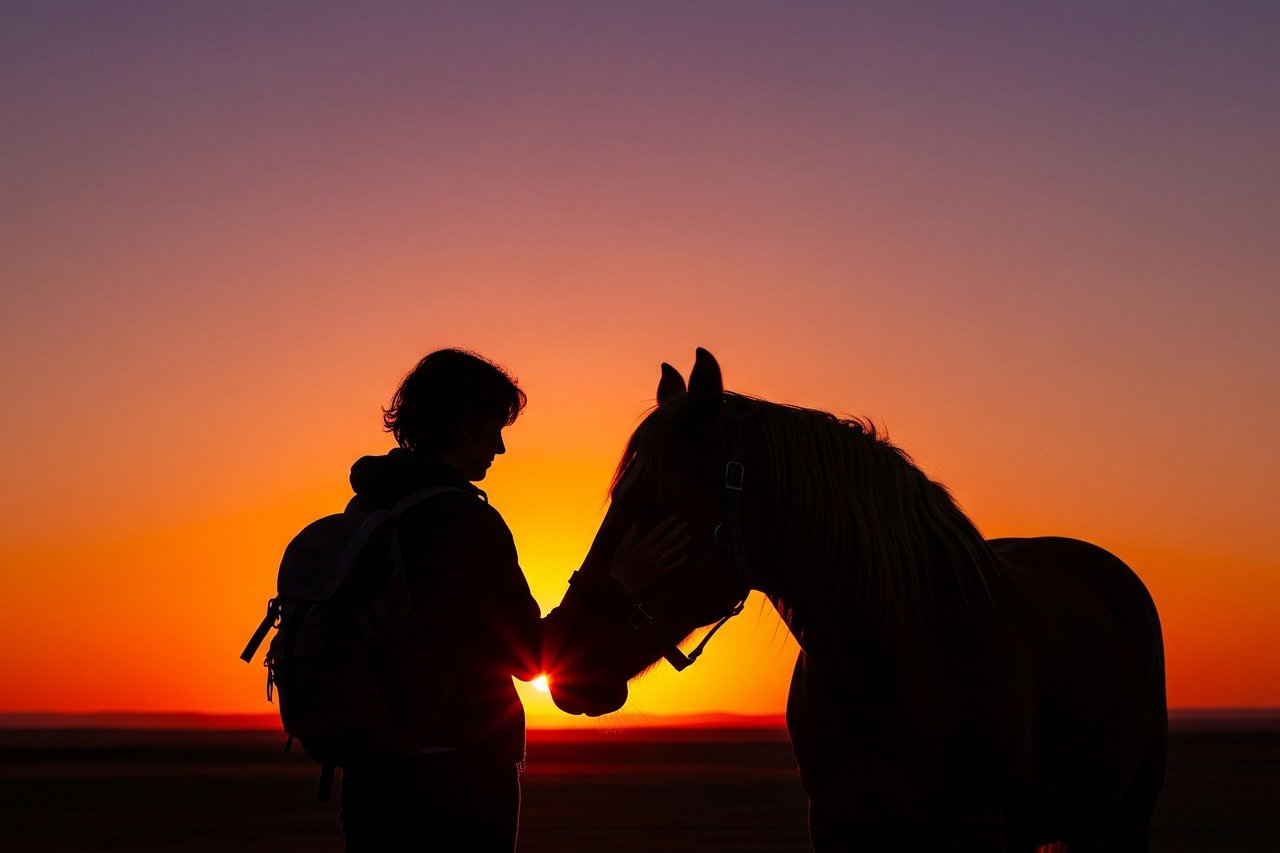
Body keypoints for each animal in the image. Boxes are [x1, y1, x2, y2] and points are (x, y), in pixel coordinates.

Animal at [541, 348, 1167, 852]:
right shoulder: (837, 826)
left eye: (650, 505)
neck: (901, 661)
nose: (561, 651)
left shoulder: (978, 828)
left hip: (1126, 818)